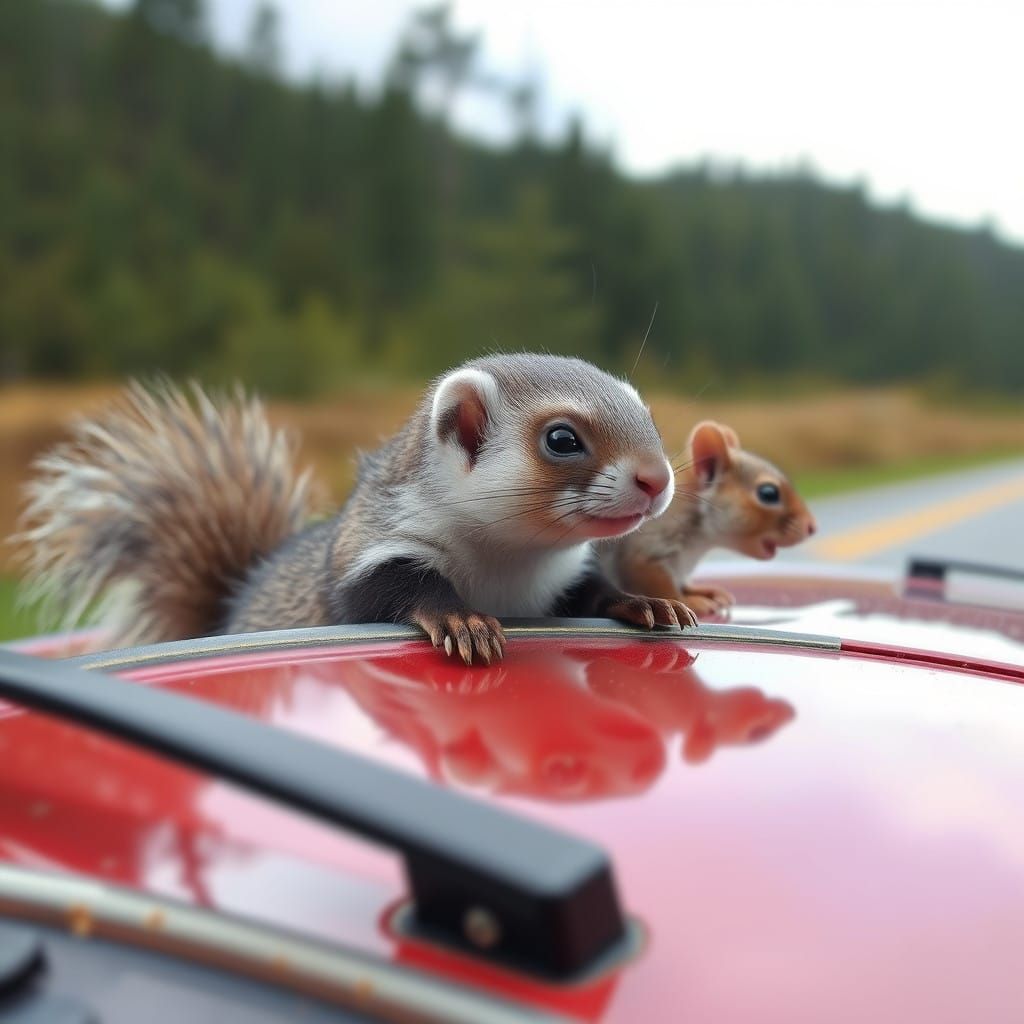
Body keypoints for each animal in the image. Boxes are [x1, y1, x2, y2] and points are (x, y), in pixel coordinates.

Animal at [17, 354, 698, 663]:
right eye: (561, 437)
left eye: (648, 417)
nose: (657, 476)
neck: (507, 575)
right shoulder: (372, 554)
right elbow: (397, 589)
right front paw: (461, 620)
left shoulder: (564, 577)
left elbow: (592, 591)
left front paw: (646, 602)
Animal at [600, 419, 816, 617]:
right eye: (768, 493)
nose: (811, 527)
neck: (701, 542)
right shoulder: (645, 550)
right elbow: (658, 584)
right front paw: (688, 602)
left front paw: (703, 591)